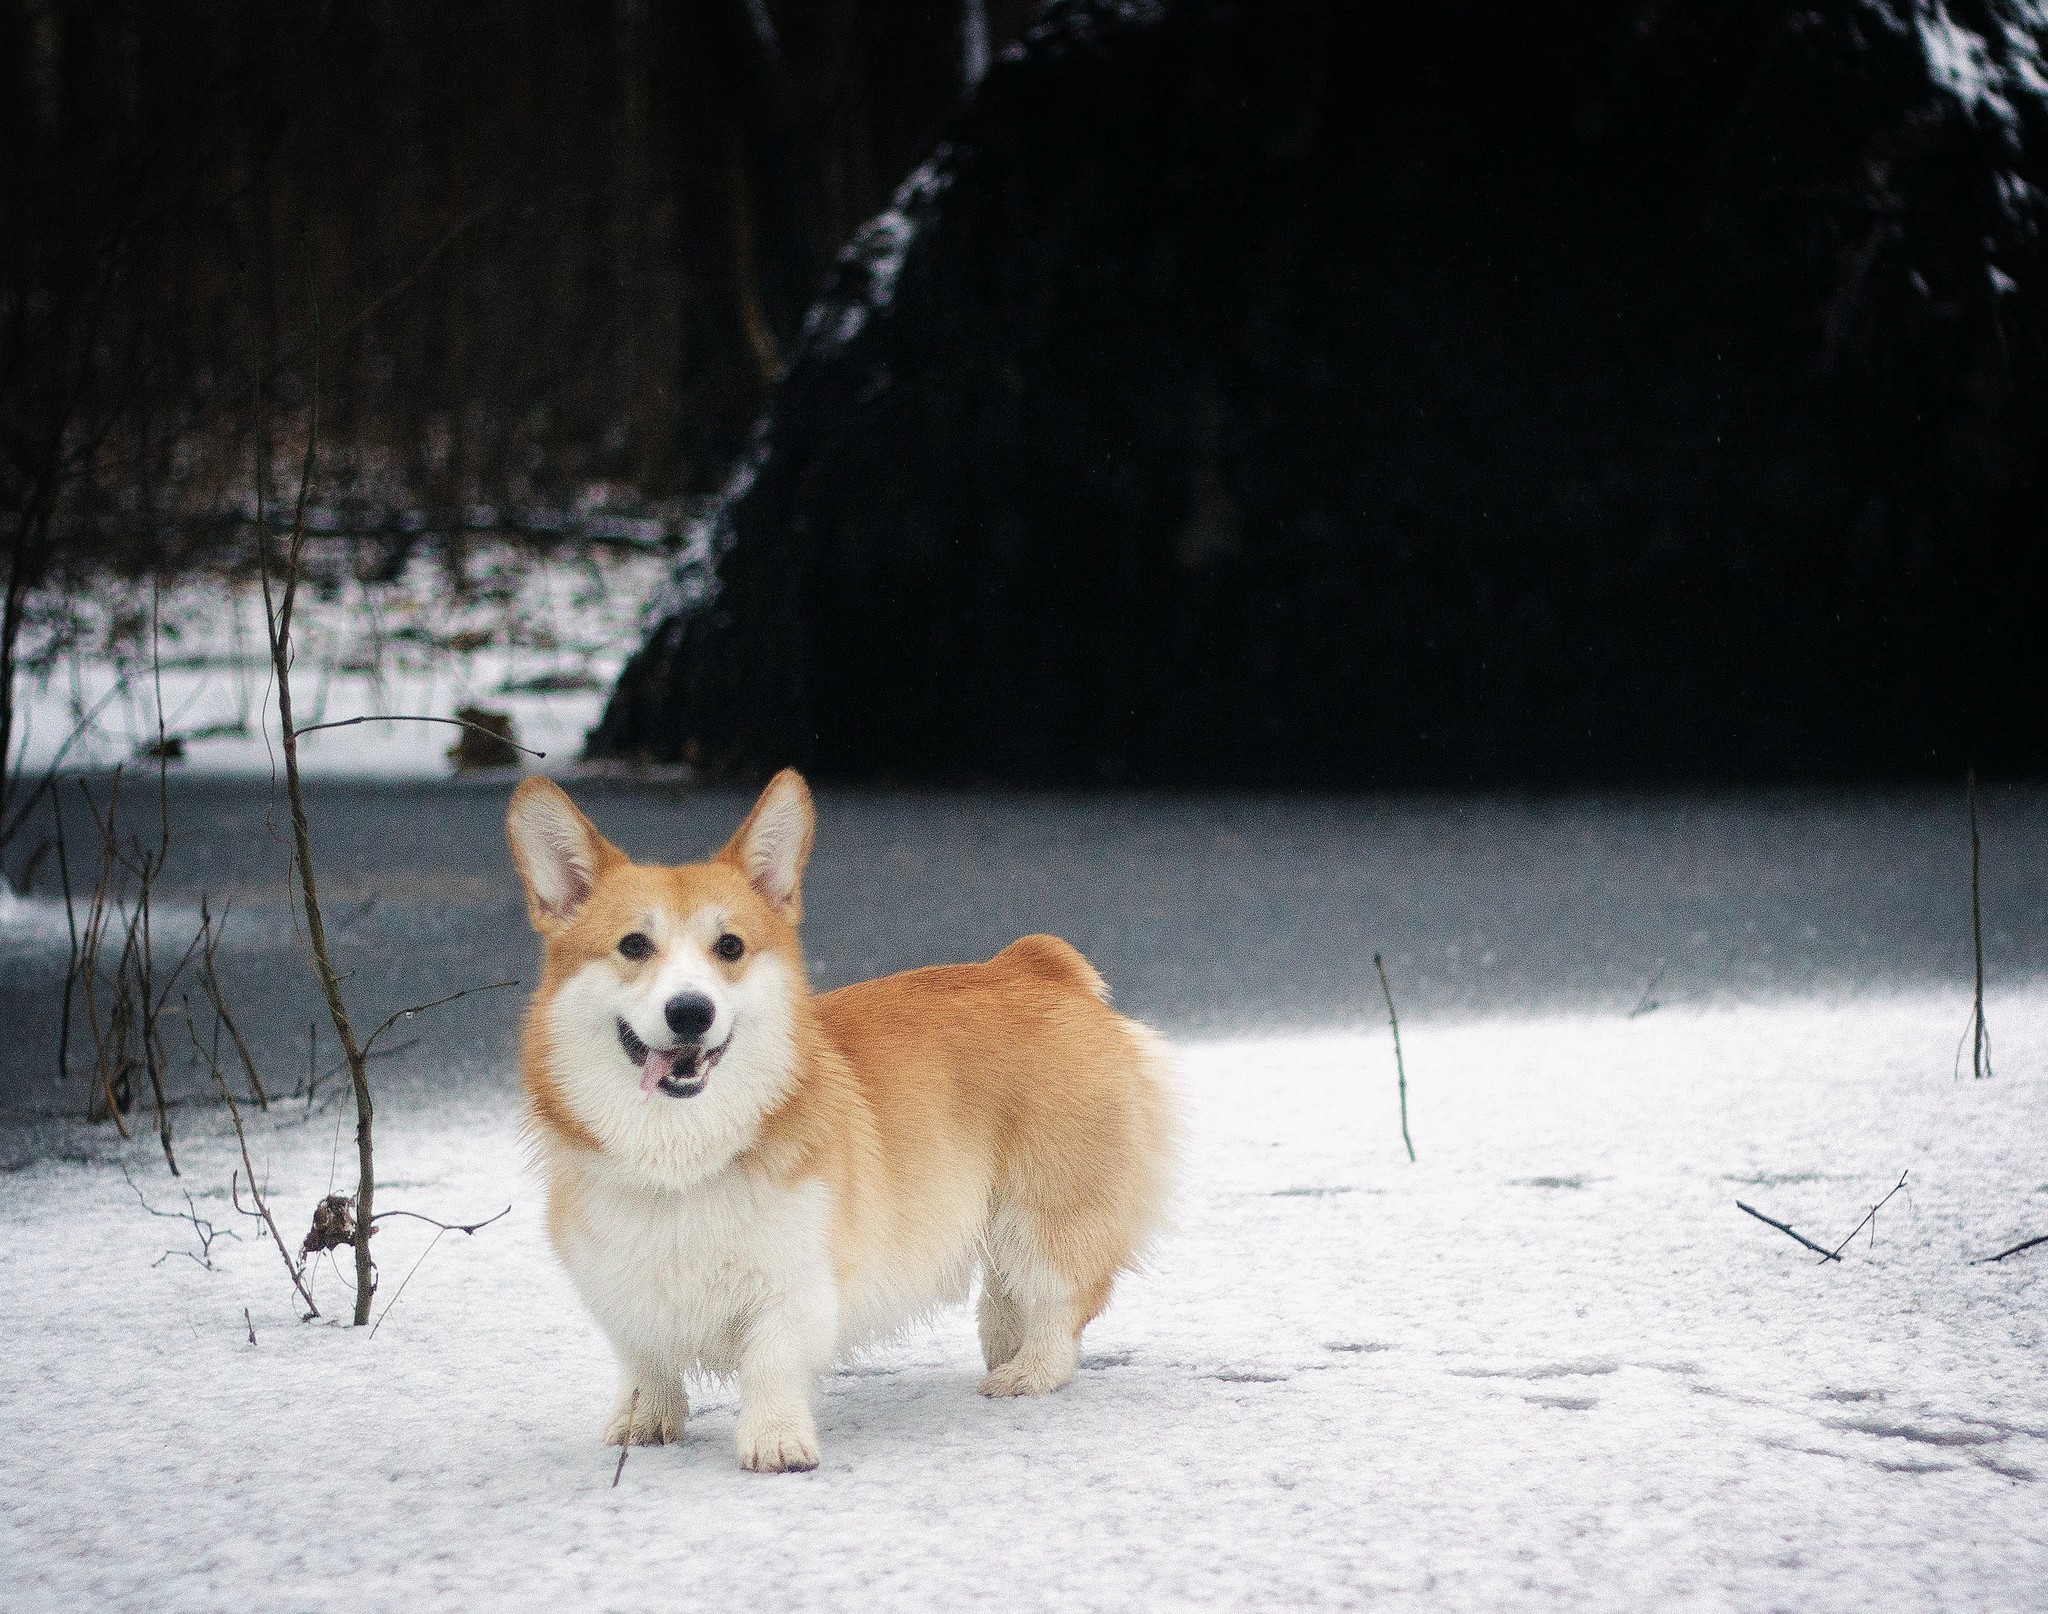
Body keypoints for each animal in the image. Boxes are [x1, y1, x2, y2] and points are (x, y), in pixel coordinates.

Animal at [505, 774, 1179, 1466]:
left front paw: (775, 1443)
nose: (691, 1011)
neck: (681, 1153)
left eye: (730, 947)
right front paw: (643, 1422)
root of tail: (1037, 966)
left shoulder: (795, 1278)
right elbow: (643, 1358)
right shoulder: (619, 1282)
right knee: (1006, 1295)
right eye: (633, 946)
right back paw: (1003, 1352)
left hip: (1047, 1211)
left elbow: (771, 1362)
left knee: (1059, 1302)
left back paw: (1028, 1373)